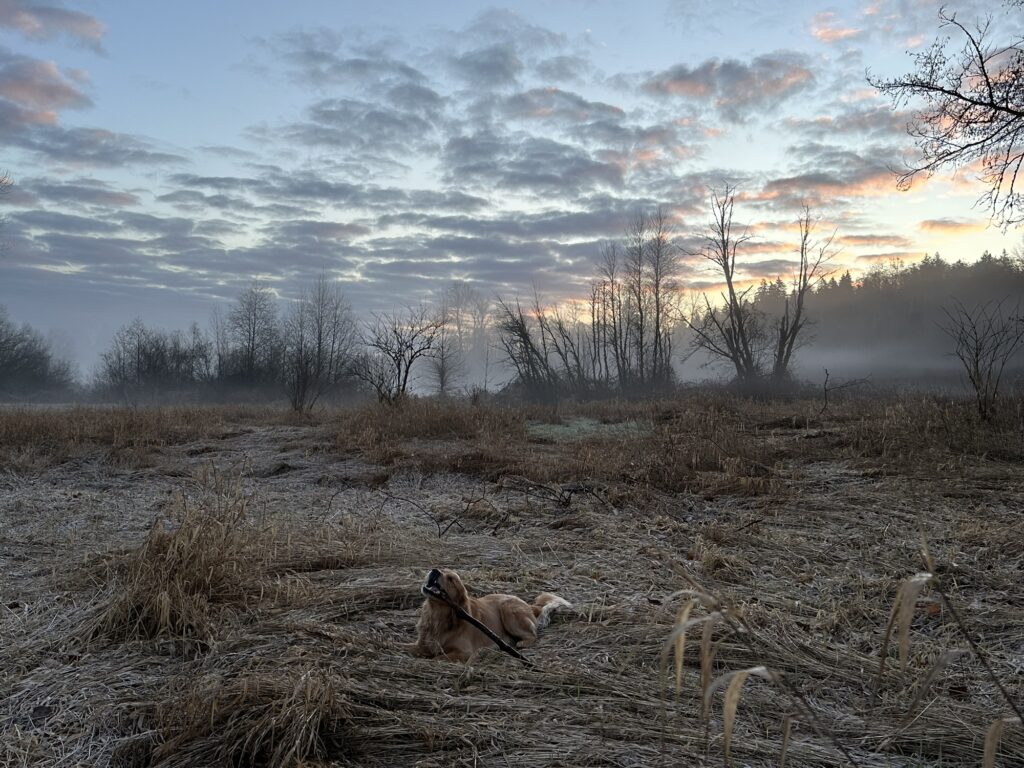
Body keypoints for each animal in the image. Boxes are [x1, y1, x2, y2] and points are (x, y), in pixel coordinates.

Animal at [405, 569, 569, 663]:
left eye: (451, 579)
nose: (435, 570)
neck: (438, 616)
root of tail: (527, 604)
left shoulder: (464, 652)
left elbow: (437, 657)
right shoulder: (421, 644)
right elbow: (404, 647)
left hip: (507, 609)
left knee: (533, 634)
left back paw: (522, 643)